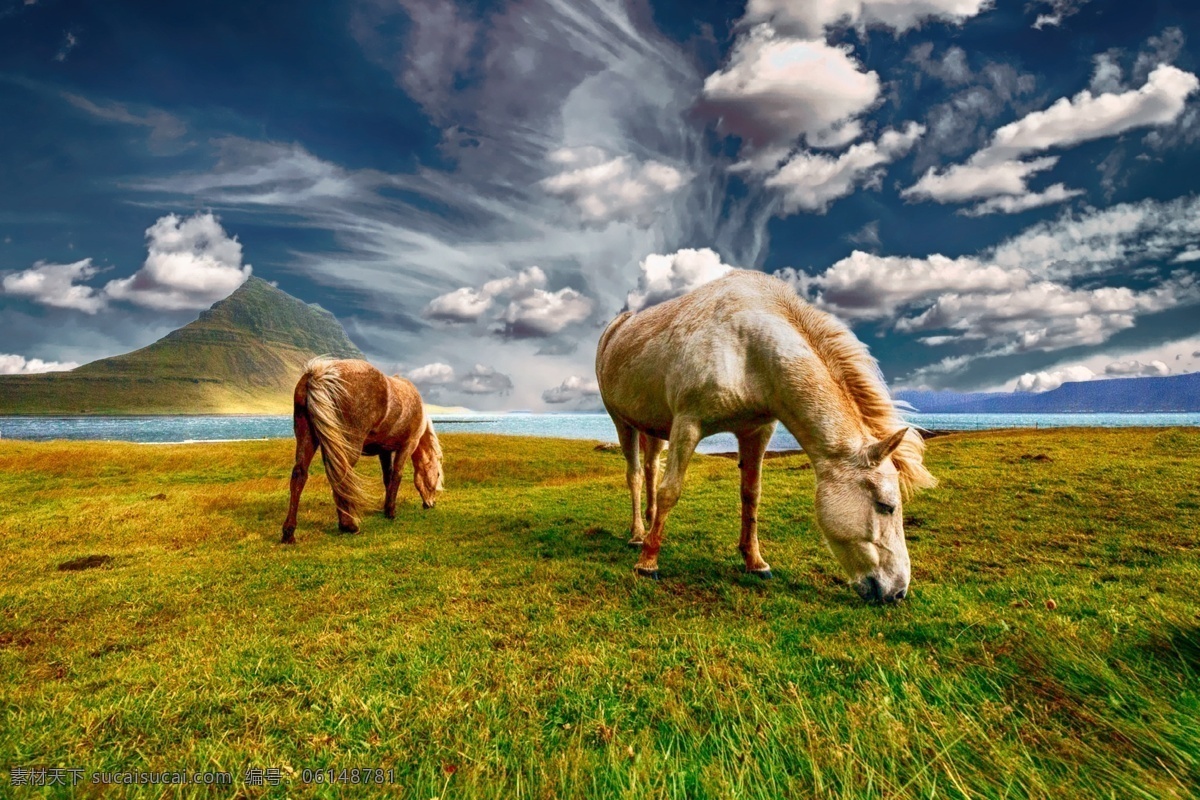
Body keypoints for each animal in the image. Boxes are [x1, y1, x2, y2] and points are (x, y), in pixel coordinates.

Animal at [278, 357, 444, 544]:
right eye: (437, 474)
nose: (431, 503)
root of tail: (320, 374)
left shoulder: (384, 451)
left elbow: (387, 477)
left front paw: (386, 508)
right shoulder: (407, 445)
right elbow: (397, 475)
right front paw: (391, 512)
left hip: (307, 437)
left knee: (299, 474)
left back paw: (289, 533)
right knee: (340, 476)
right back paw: (348, 525)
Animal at [592, 268, 936, 599]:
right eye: (886, 506)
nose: (898, 591)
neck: (747, 348)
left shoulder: (756, 431)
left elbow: (751, 496)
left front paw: (755, 561)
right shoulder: (687, 424)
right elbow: (670, 491)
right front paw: (648, 563)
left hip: (654, 428)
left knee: (651, 469)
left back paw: (651, 523)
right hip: (623, 422)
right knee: (636, 475)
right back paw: (639, 535)